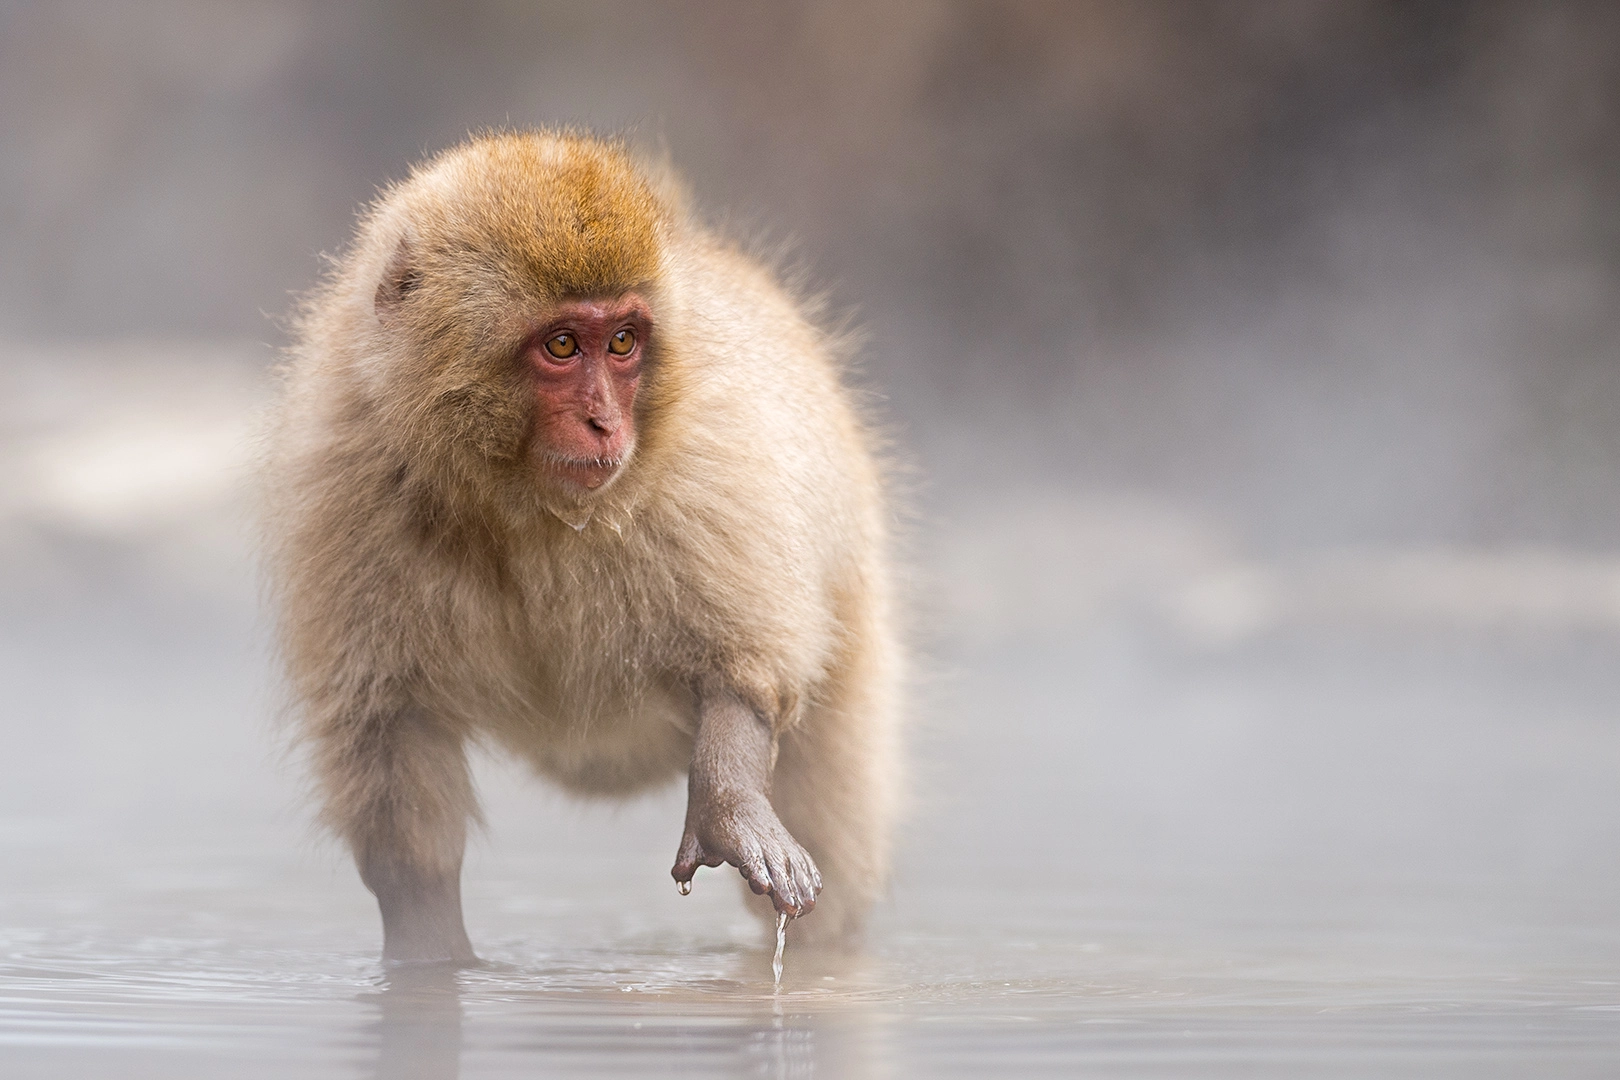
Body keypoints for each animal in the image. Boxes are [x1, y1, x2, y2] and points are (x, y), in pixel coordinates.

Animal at [262, 130, 903, 964]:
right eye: (563, 345)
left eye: (623, 342)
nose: (605, 423)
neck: (526, 505)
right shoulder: (349, 480)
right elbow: (390, 730)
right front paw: (428, 959)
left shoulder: (710, 460)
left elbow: (742, 669)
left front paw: (729, 799)